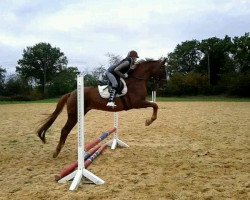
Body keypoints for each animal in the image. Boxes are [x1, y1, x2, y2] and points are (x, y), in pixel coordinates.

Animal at [36, 58, 166, 158]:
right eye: (162, 69)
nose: (164, 84)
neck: (136, 81)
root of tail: (71, 93)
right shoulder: (137, 103)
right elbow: (155, 105)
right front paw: (149, 121)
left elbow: (155, 105)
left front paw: (149, 121)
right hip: (74, 115)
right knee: (64, 130)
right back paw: (57, 151)